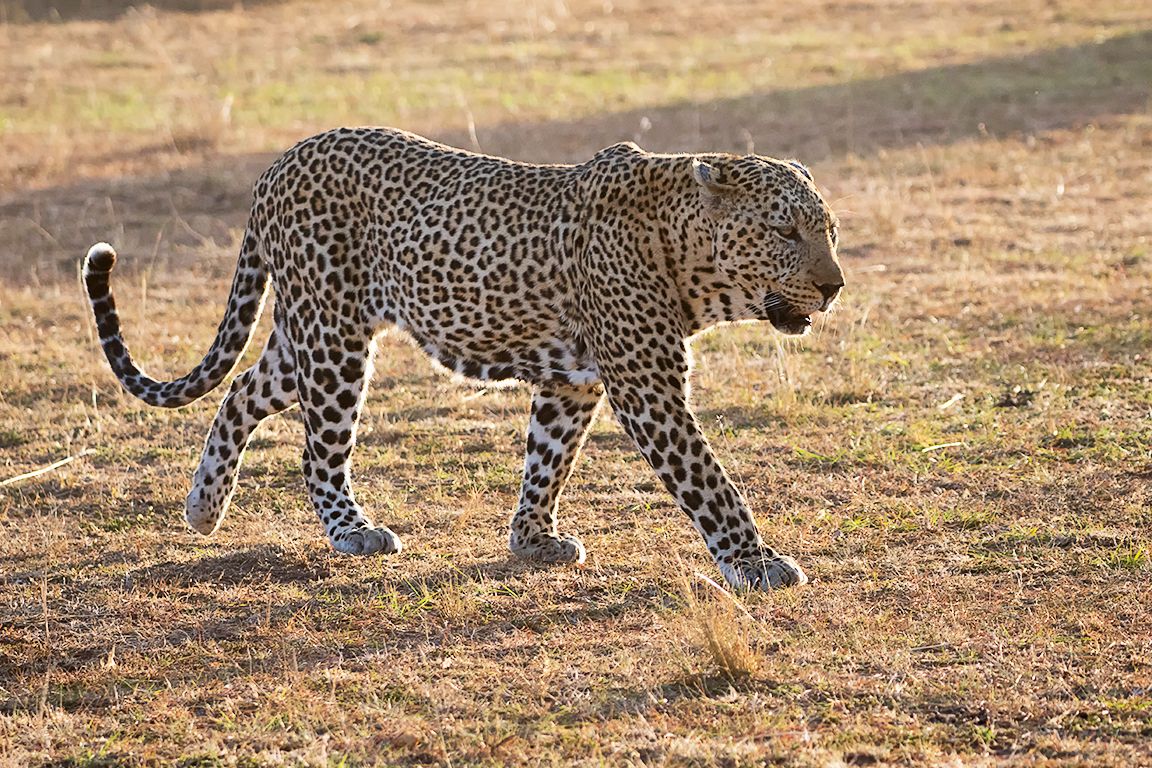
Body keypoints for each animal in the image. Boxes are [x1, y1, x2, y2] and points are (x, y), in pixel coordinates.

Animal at [83, 127, 844, 590]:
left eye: (829, 231)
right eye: (785, 231)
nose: (835, 286)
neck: (683, 251)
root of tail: (277, 164)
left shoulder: (573, 383)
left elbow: (547, 463)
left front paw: (532, 540)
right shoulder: (646, 387)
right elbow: (711, 484)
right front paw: (757, 562)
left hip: (307, 336)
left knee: (241, 391)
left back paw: (204, 506)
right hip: (333, 341)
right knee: (316, 452)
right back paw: (351, 531)